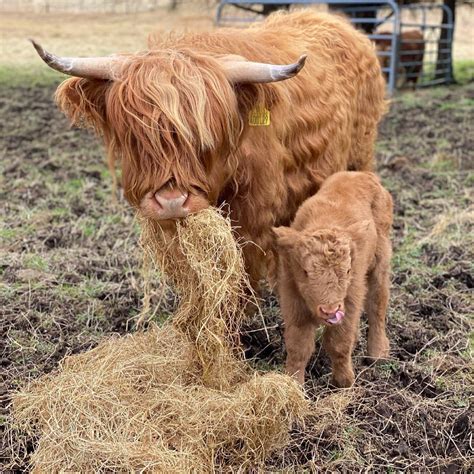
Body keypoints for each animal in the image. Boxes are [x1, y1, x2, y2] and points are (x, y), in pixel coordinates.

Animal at [272, 172, 390, 386]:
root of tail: (364, 175)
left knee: (377, 304)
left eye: (348, 270)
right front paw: (293, 383)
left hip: (381, 263)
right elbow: (298, 346)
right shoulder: (293, 300)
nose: (330, 311)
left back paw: (378, 354)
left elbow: (338, 343)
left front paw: (344, 382)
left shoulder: (350, 300)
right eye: (305, 271)